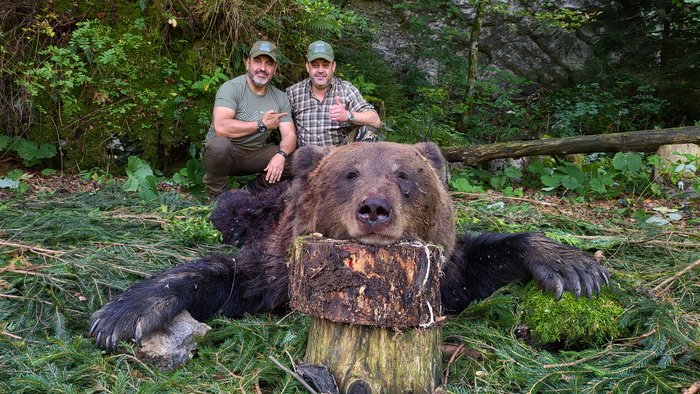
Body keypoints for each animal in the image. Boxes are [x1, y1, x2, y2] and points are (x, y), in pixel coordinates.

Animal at [91, 142, 608, 350]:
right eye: (350, 173)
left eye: (404, 175)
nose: (374, 209)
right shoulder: (278, 268)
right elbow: (228, 276)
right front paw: (123, 314)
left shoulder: (443, 273)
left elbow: (479, 264)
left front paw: (574, 266)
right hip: (251, 208)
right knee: (231, 208)